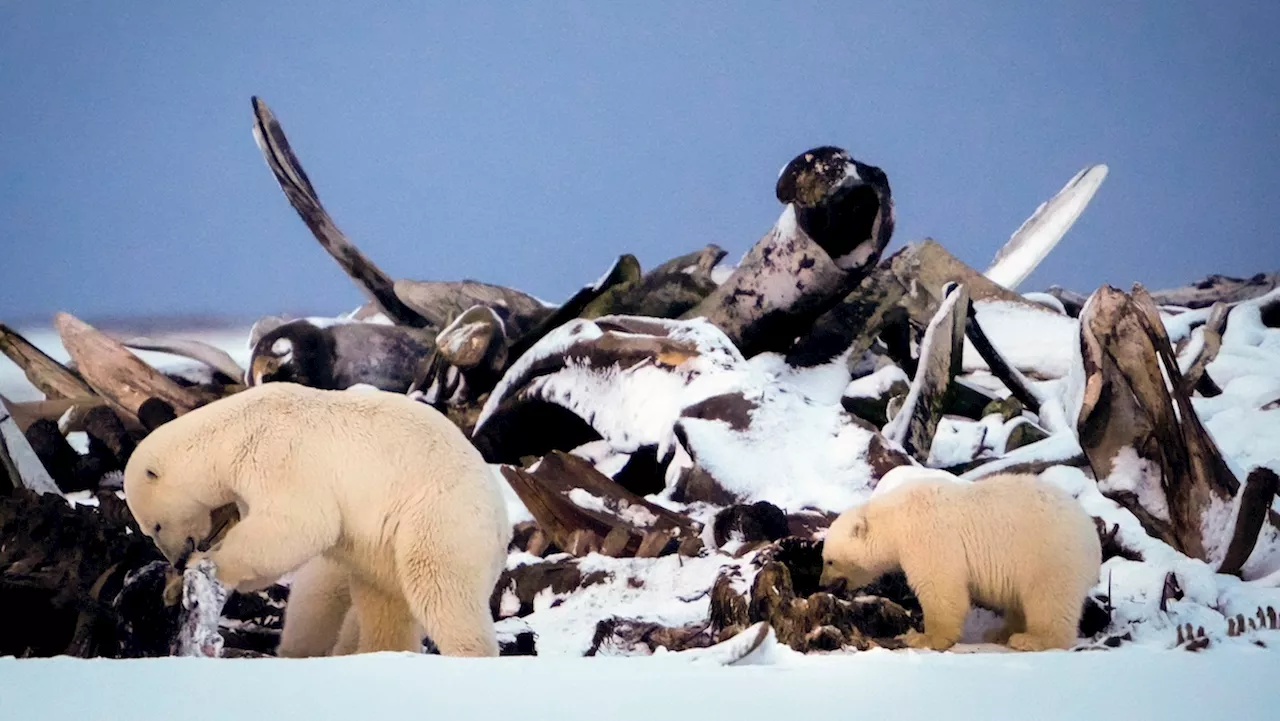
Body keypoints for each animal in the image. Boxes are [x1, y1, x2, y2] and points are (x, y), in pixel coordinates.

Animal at [123, 384, 509, 660]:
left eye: (154, 526)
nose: (175, 559)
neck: (233, 430)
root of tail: (502, 522)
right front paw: (174, 586)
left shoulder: (277, 455)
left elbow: (300, 523)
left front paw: (207, 562)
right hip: (386, 545)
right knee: (383, 599)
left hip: (439, 516)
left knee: (440, 586)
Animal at [819, 471, 1100, 650]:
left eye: (829, 561)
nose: (821, 583)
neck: (894, 518)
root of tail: (1093, 537)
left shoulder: (927, 534)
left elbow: (940, 586)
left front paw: (923, 638)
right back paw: (1001, 632)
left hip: (1049, 555)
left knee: (1049, 599)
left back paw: (1030, 640)